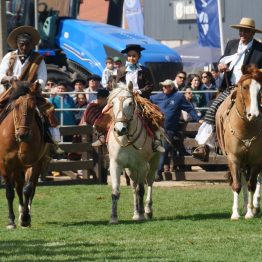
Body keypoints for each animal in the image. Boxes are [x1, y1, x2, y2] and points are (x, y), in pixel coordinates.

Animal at [0, 81, 48, 228]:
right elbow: (10, 192)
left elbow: (28, 189)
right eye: (15, 106)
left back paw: (25, 213)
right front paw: (11, 220)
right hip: (15, 167)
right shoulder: (5, 164)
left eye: (33, 107)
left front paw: (25, 218)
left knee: (27, 188)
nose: (23, 134)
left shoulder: (33, 162)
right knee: (18, 186)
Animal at [107, 83, 161, 224]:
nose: (120, 129)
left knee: (149, 182)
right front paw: (113, 217)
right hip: (130, 169)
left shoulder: (142, 166)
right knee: (133, 186)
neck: (126, 139)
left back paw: (147, 210)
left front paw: (142, 214)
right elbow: (115, 191)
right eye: (113, 103)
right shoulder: (115, 165)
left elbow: (141, 190)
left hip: (154, 162)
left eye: (130, 103)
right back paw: (136, 212)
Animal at [216, 65, 262, 219]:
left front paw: (250, 213)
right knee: (242, 180)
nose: (254, 114)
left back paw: (254, 206)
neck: (246, 127)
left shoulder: (256, 160)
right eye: (245, 87)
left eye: (260, 88)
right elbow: (237, 185)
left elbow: (252, 184)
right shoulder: (234, 159)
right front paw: (235, 213)